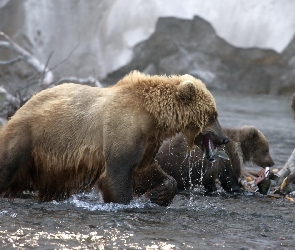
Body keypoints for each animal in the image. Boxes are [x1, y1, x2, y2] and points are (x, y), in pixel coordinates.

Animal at [0, 70, 229, 205]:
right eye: (213, 114)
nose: (224, 138)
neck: (153, 117)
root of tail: (19, 109)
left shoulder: (148, 140)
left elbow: (144, 169)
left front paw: (161, 192)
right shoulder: (123, 127)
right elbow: (118, 173)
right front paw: (124, 202)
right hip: (29, 137)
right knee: (8, 165)